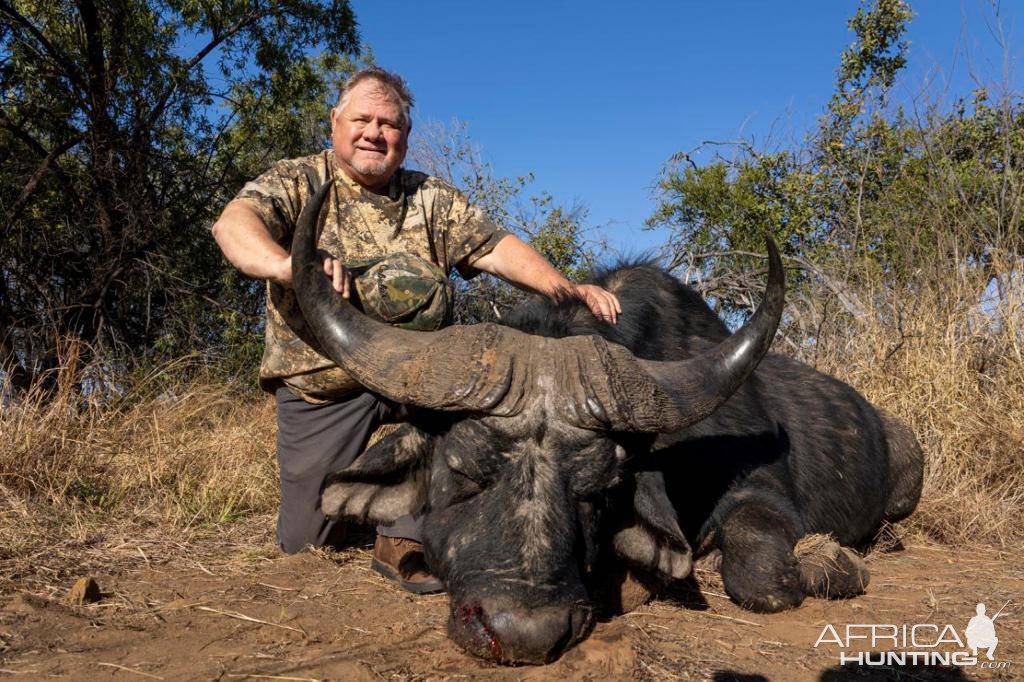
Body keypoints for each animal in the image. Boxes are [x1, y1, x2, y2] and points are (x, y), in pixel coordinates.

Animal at [290, 178, 929, 659]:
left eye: (599, 490)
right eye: (464, 474)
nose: (525, 633)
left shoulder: (763, 499)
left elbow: (763, 580)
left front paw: (836, 564)